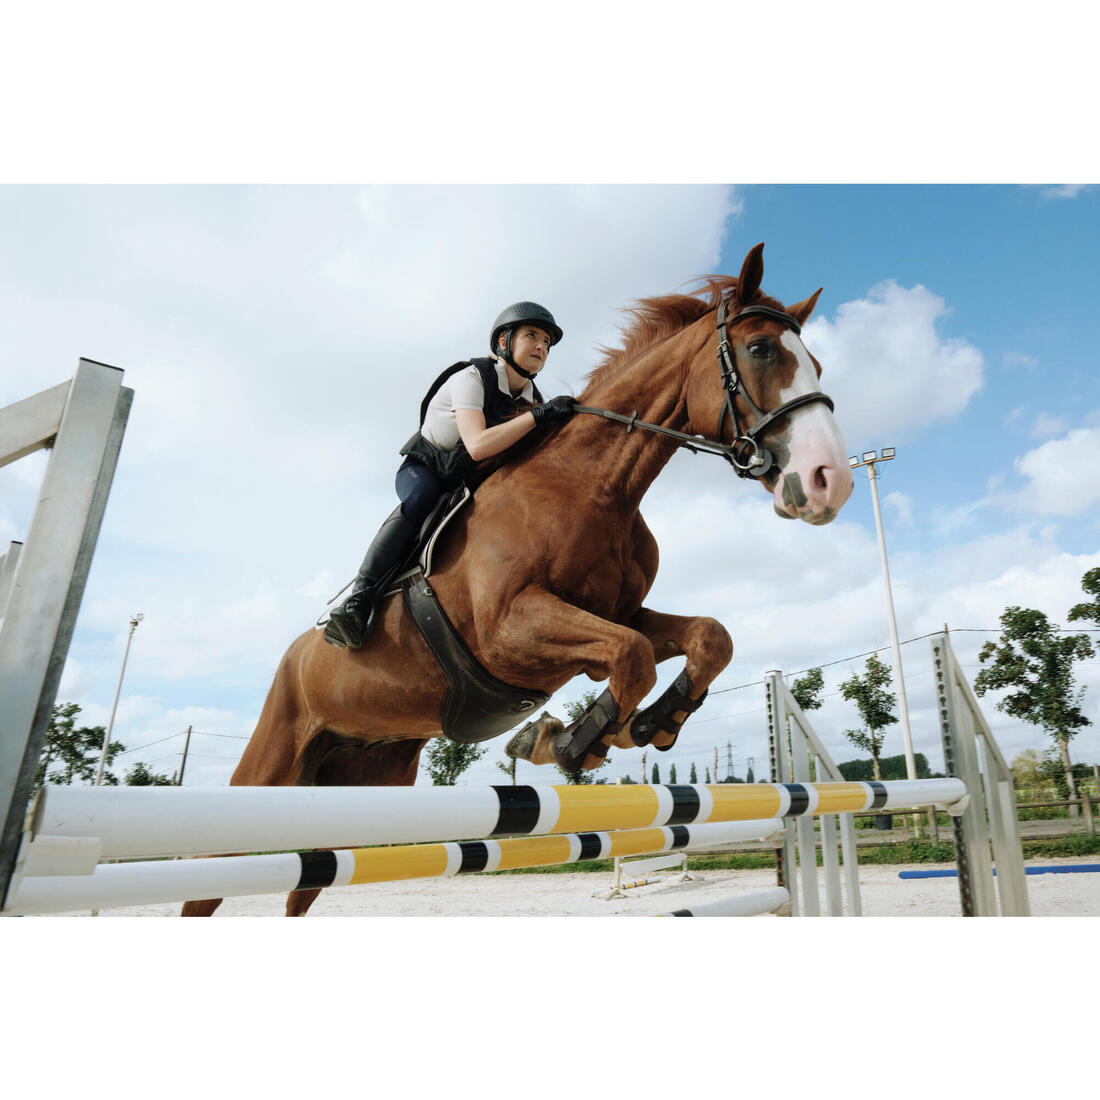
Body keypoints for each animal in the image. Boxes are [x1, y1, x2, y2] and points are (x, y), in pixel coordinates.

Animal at [181, 242, 853, 916]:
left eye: (820, 363)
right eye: (760, 350)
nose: (829, 480)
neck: (595, 486)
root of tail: (295, 656)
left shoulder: (618, 611)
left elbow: (705, 637)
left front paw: (649, 723)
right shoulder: (510, 628)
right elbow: (631, 656)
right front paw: (565, 741)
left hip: (364, 780)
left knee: (304, 883)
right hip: (270, 768)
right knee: (207, 882)